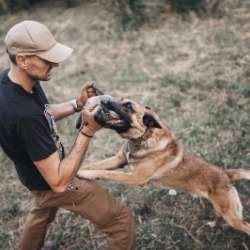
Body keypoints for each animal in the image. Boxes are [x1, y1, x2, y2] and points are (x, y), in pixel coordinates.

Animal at [77, 98, 250, 236]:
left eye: (128, 106)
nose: (103, 100)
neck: (143, 139)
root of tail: (226, 174)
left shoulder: (135, 178)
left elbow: (105, 172)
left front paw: (87, 174)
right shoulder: (118, 160)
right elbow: (96, 165)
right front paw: (78, 170)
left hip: (232, 216)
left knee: (244, 225)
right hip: (222, 209)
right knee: (219, 215)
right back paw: (213, 224)